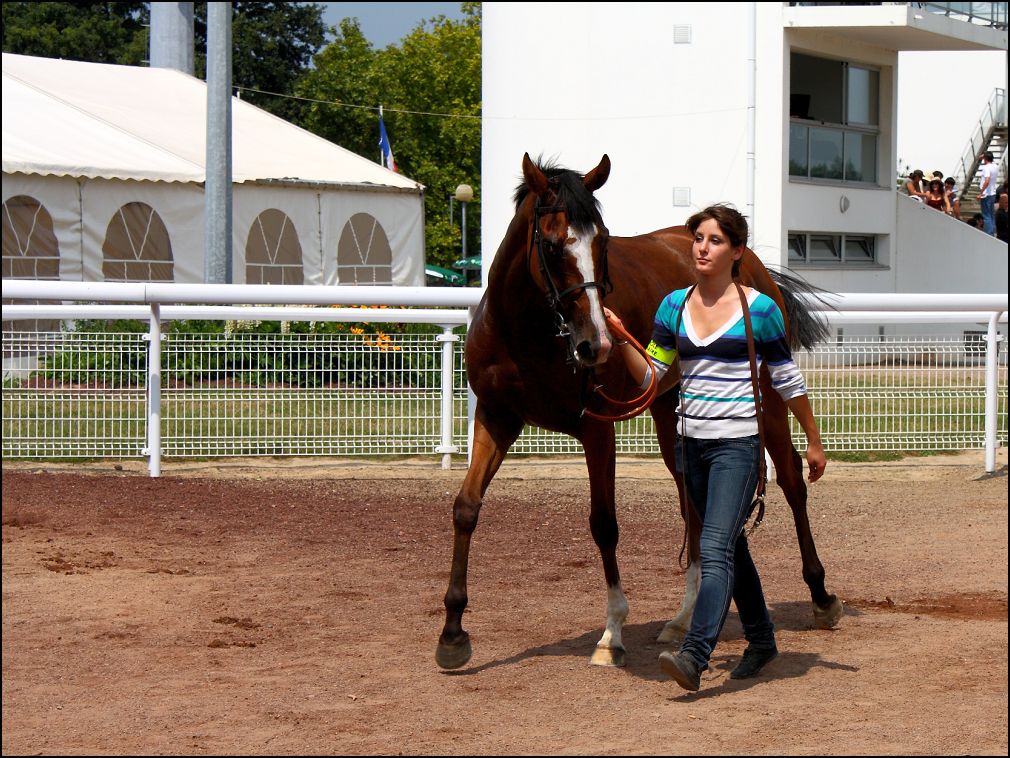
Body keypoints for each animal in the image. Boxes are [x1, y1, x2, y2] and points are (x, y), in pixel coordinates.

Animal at [436, 152, 844, 671]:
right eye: (551, 244)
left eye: (603, 240)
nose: (595, 343)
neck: (526, 334)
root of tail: (748, 262)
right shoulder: (496, 417)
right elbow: (466, 508)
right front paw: (452, 633)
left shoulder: (597, 429)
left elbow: (603, 524)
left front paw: (611, 634)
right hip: (676, 420)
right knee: (693, 503)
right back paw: (683, 619)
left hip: (765, 399)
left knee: (791, 479)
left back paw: (821, 594)